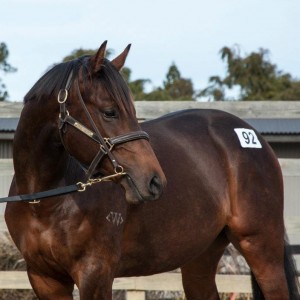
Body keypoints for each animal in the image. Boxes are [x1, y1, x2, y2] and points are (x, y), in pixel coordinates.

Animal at [4, 42, 300, 300]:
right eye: (110, 111)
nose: (155, 181)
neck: (44, 202)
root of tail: (255, 138)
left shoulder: (95, 274)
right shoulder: (44, 278)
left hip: (261, 246)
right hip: (200, 256)